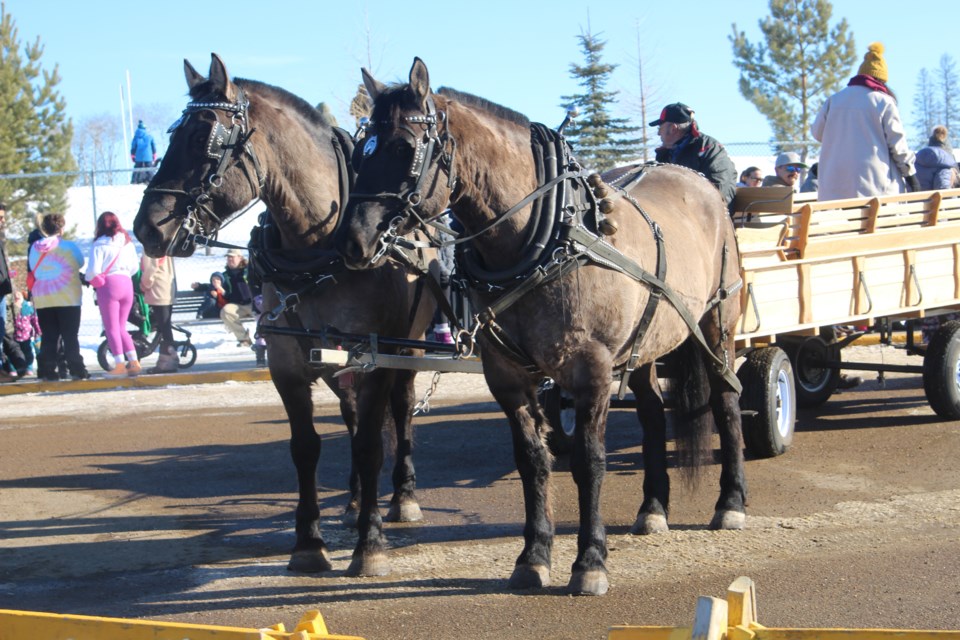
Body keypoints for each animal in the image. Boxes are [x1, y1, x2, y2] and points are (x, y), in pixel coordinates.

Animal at [133, 55, 436, 576]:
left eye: (203, 136)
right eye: (171, 135)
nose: (146, 227)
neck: (320, 249)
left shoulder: (376, 361)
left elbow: (371, 444)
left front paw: (370, 544)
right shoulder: (288, 364)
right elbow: (306, 446)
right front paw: (309, 542)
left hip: (405, 352)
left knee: (399, 411)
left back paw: (401, 497)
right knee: (352, 418)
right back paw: (354, 501)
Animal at [338, 58, 752, 596]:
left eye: (404, 148)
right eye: (359, 152)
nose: (353, 241)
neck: (542, 241)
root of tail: (696, 181)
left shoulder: (591, 369)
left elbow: (589, 461)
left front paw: (590, 561)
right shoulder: (508, 374)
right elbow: (533, 460)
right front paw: (533, 556)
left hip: (717, 328)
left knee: (726, 402)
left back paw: (731, 502)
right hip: (643, 345)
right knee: (652, 413)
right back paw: (653, 508)